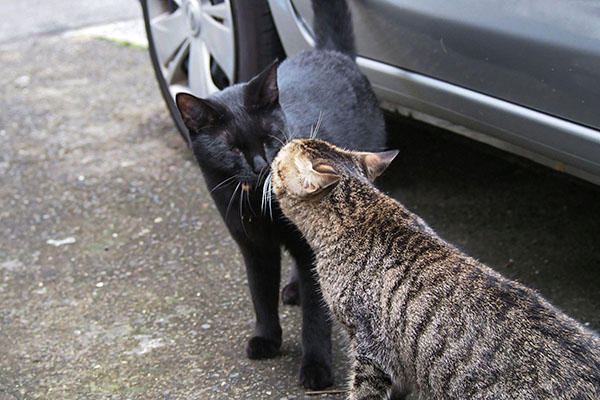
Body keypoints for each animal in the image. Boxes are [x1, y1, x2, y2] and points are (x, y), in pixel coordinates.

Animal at [173, 0, 390, 390]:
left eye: (268, 137)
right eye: (232, 147)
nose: (261, 165)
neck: (259, 207)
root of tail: (330, 52)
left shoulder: (305, 245)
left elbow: (315, 318)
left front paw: (316, 368)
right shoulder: (253, 245)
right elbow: (260, 293)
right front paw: (266, 338)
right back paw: (292, 289)